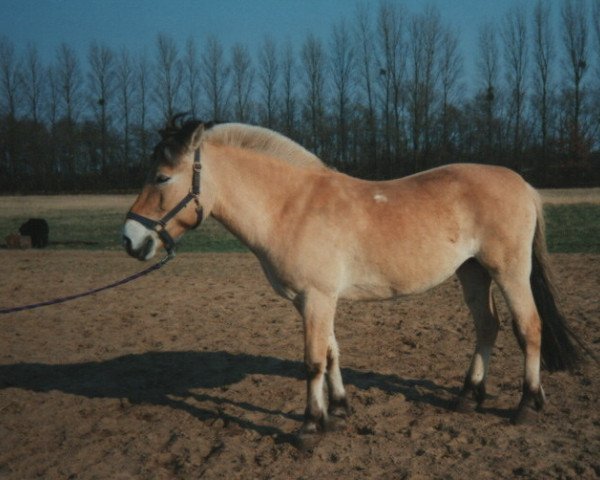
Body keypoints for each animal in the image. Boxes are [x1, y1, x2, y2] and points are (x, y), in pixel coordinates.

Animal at [122, 117, 580, 446]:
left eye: (162, 177)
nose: (130, 239)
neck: (291, 206)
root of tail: (521, 183)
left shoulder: (316, 298)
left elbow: (312, 361)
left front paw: (310, 427)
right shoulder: (314, 300)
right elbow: (331, 353)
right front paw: (339, 411)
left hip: (509, 271)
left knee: (529, 328)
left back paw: (526, 404)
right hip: (472, 272)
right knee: (487, 327)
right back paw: (468, 397)